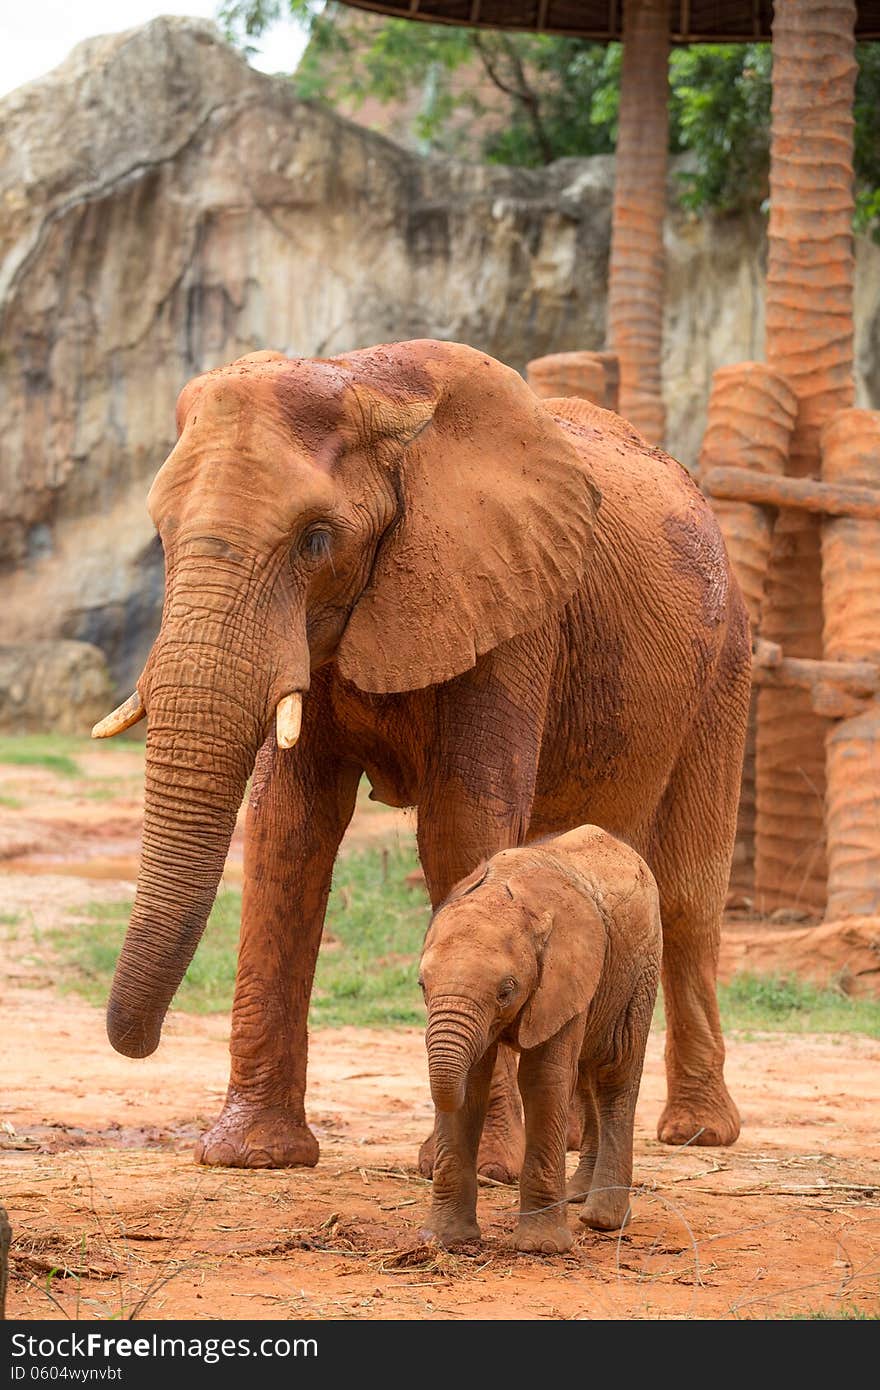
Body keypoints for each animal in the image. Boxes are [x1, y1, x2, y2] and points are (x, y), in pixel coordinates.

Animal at [101, 336, 750, 1173]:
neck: (367, 383)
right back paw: (574, 1136)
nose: (138, 1043)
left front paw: (479, 1167)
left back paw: (695, 1132)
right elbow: (289, 829)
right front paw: (253, 1157)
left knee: (687, 895)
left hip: (726, 663)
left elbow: (463, 831)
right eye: (161, 535)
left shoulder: (513, 612)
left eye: (315, 540)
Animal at [419, 817, 658, 1256]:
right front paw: (445, 1240)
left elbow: (543, 1079)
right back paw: (577, 1196)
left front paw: (541, 1247)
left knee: (615, 1073)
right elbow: (472, 1082)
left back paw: (602, 1220)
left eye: (506, 990)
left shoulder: (564, 975)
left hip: (639, 969)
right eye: (422, 985)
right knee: (584, 1075)